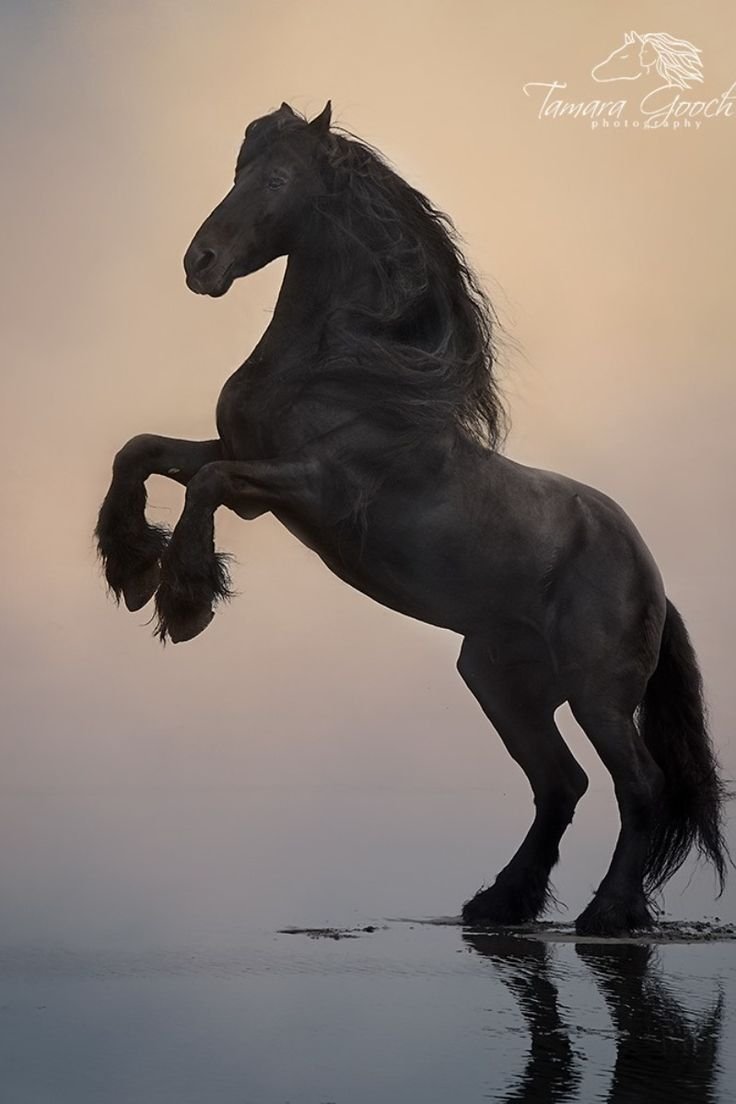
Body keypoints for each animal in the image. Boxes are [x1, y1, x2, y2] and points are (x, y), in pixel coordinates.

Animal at [96, 101, 730, 935]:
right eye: (237, 171)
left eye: (277, 179)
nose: (200, 263)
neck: (345, 371)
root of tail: (651, 578)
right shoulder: (244, 462)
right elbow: (142, 452)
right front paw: (131, 565)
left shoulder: (305, 490)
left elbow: (204, 482)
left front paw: (186, 601)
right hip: (499, 678)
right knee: (560, 783)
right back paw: (499, 902)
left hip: (597, 690)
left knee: (638, 785)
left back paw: (608, 912)